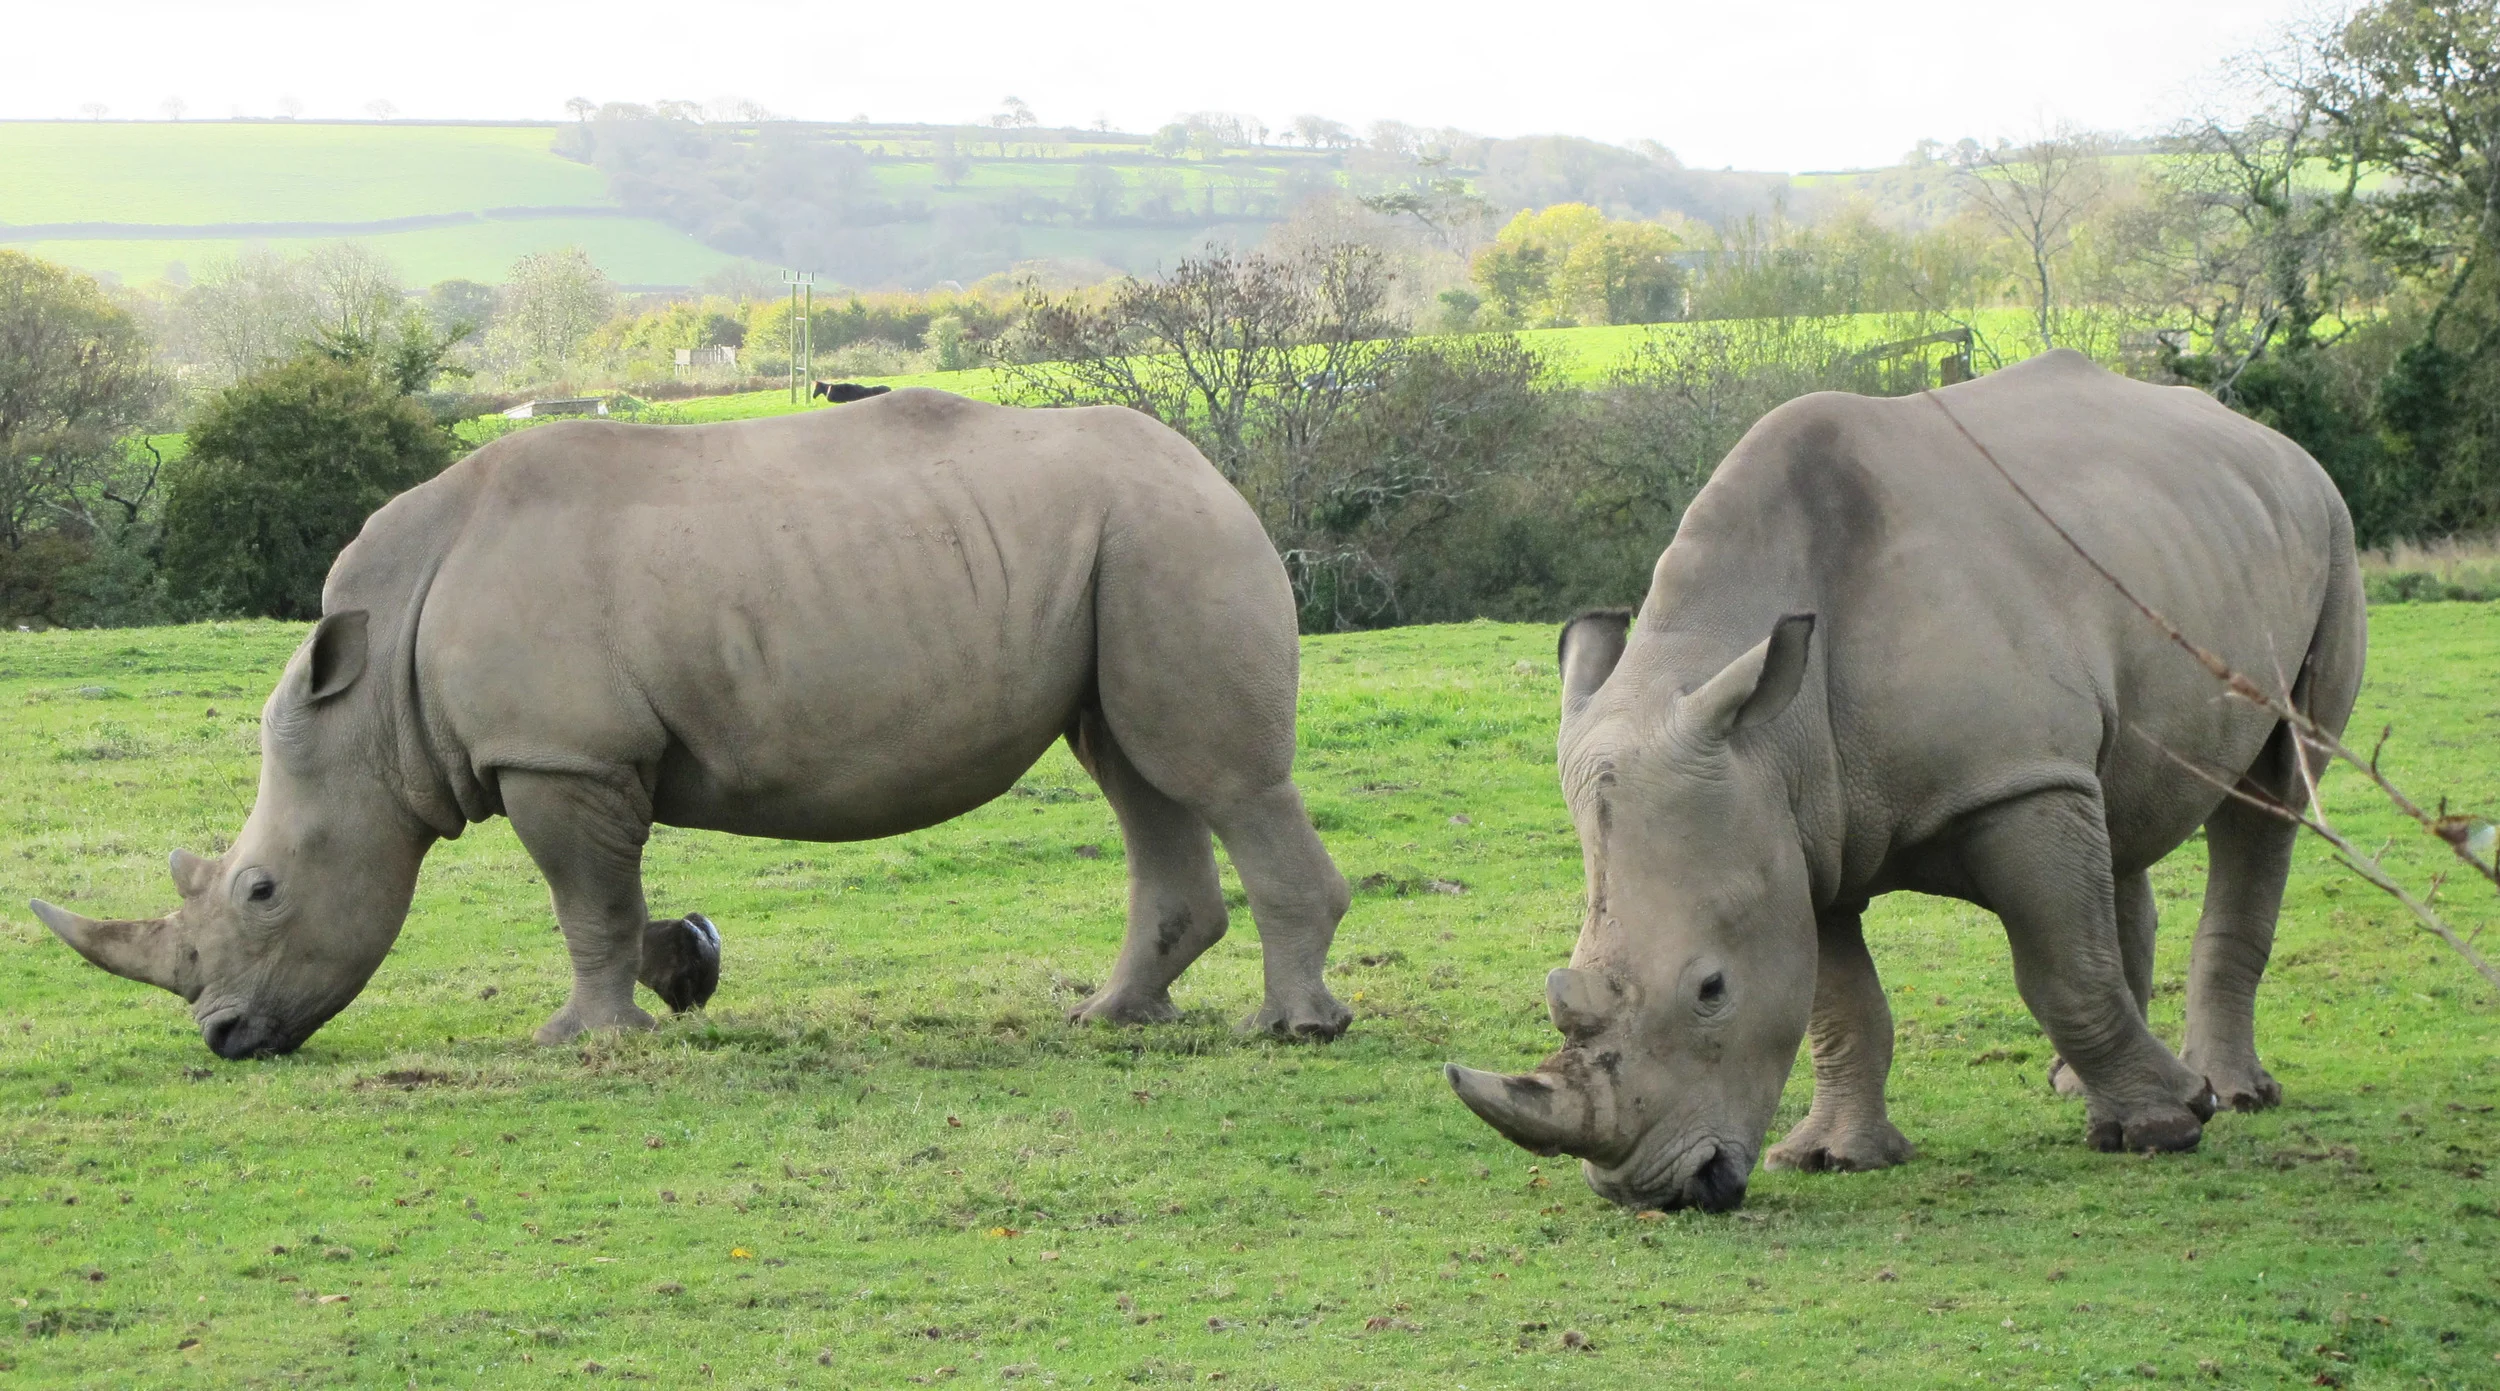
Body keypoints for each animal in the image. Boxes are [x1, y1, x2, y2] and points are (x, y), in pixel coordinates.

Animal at [30, 390, 1353, 1057]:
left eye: (259, 891)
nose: (222, 1035)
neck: (376, 705)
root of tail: (1212, 468)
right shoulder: (592, 755)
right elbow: (618, 899)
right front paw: (689, 966)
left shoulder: (558, 755)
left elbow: (583, 901)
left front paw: (578, 1036)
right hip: (1122, 548)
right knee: (1134, 769)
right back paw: (1111, 1016)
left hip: (1167, 538)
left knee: (1210, 774)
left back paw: (1292, 1029)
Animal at [1446, 351, 2365, 1212]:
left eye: (1711, 989)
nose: (1659, 1192)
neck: (1765, 732)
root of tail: (2270, 441)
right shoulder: (1797, 830)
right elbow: (1841, 1002)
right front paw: (1834, 1156)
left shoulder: (2013, 779)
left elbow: (2061, 966)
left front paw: (2168, 1126)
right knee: (2112, 814)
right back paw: (2078, 1084)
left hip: (2329, 527)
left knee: (2271, 795)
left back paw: (2227, 1094)